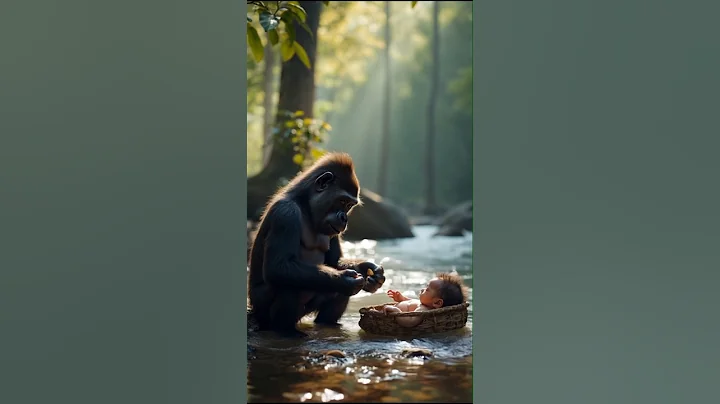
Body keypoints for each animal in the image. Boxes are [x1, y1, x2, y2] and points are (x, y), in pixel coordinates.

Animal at [248, 152, 386, 338]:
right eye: (342, 201)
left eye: (349, 205)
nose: (345, 219)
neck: (305, 204)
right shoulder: (285, 213)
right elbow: (279, 267)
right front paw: (344, 280)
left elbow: (334, 262)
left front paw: (368, 269)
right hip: (262, 313)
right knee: (289, 285)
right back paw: (286, 331)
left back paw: (328, 324)